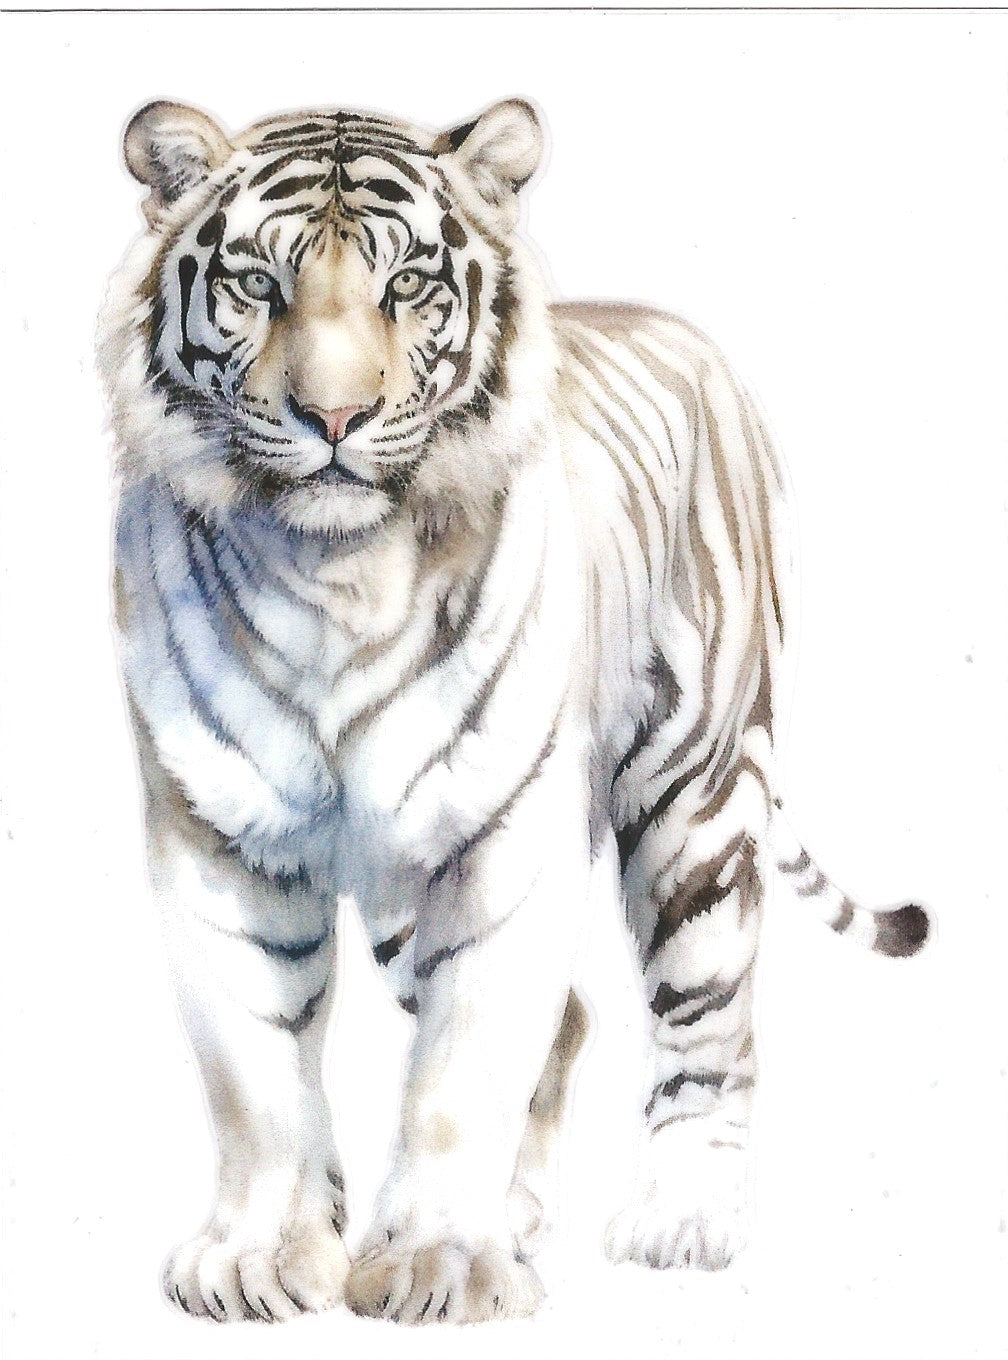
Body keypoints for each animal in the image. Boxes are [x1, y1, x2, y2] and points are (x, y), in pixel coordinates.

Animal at [98, 96, 930, 1325]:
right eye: (258, 284)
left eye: (406, 286)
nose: (335, 414)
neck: (332, 575)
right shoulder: (218, 834)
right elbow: (254, 1071)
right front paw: (262, 1257)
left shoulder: (500, 833)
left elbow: (464, 1065)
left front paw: (439, 1263)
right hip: (406, 885)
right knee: (575, 1018)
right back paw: (525, 1217)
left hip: (694, 800)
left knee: (709, 1020)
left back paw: (684, 1219)